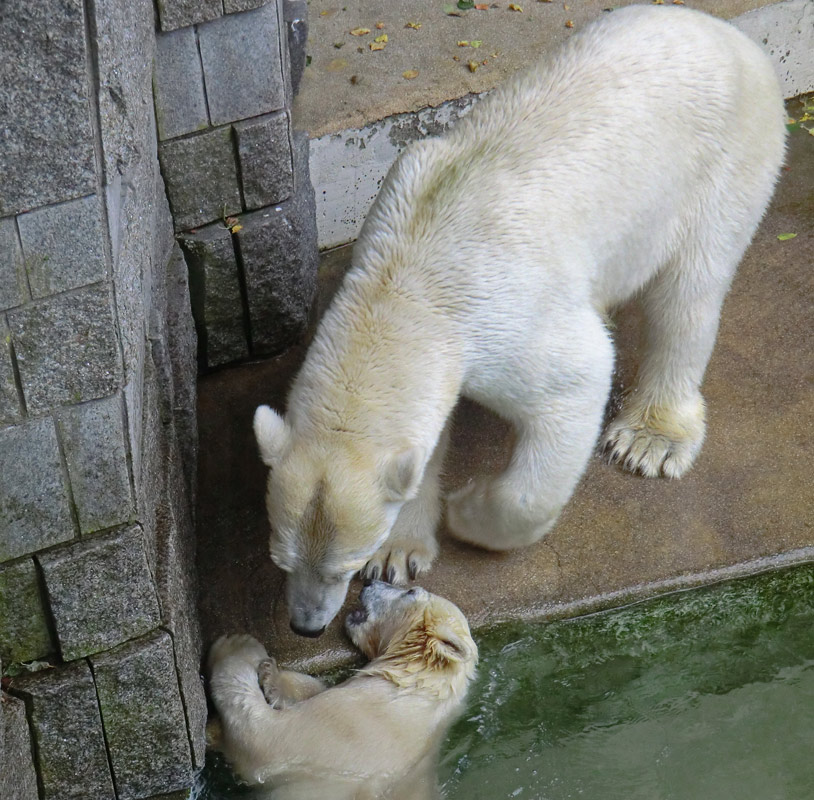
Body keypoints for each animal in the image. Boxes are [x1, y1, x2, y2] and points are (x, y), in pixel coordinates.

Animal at [207, 580, 482, 800]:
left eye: (411, 591)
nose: (370, 582)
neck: (413, 682)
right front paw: (274, 676)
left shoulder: (358, 727)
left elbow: (265, 741)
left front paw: (237, 646)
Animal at [256, 3, 792, 636]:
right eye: (280, 557)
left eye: (343, 563)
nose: (305, 625)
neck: (409, 274)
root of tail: (730, 35)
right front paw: (399, 552)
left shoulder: (503, 318)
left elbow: (576, 382)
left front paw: (465, 511)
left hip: (725, 160)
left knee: (688, 291)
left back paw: (650, 439)